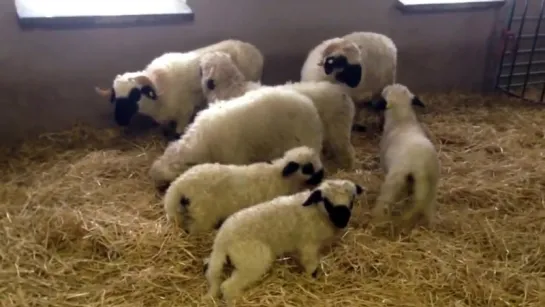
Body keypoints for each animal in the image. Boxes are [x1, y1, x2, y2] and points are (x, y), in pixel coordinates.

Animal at [93, 39, 264, 140]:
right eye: (115, 97)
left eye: (135, 94)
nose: (120, 120)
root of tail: (252, 48)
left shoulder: (184, 112)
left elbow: (178, 134)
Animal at [202, 179, 364, 304]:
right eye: (327, 202)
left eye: (352, 200)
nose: (343, 221)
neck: (317, 213)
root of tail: (222, 239)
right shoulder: (308, 245)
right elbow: (311, 265)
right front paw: (311, 279)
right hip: (252, 261)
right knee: (228, 286)